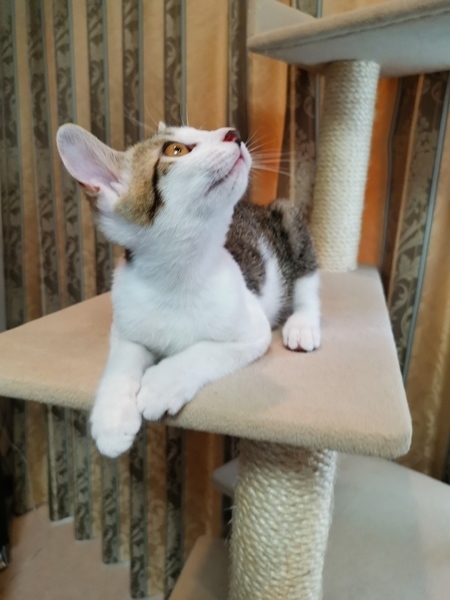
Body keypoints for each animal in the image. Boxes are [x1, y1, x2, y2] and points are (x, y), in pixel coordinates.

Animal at [56, 123, 320, 458]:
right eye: (175, 150)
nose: (233, 133)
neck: (179, 278)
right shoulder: (127, 321)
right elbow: (122, 360)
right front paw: (112, 418)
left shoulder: (252, 330)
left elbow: (204, 351)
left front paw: (161, 384)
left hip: (287, 215)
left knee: (307, 281)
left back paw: (302, 326)